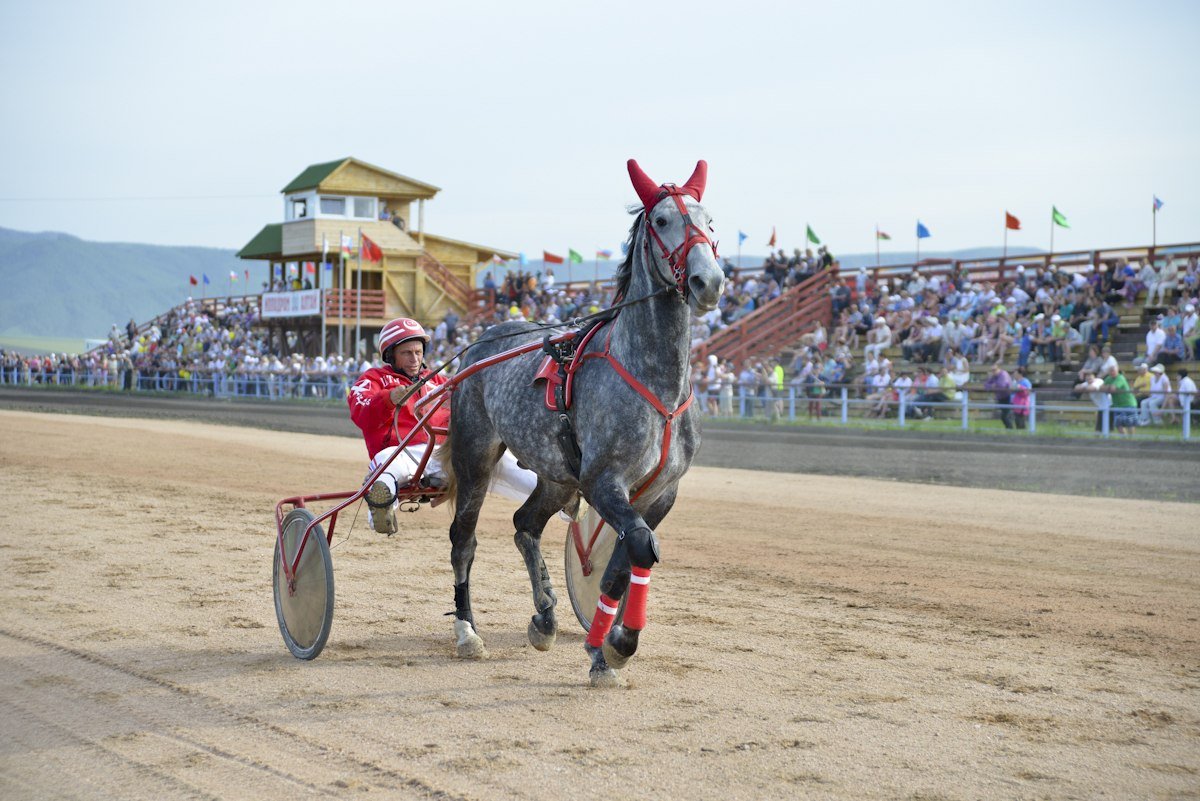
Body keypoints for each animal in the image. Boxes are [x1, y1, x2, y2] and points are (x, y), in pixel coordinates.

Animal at [439, 159, 720, 685]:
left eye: (710, 221)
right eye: (662, 220)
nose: (708, 281)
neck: (657, 380)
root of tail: (484, 337)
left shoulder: (657, 493)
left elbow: (624, 561)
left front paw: (602, 647)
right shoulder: (603, 479)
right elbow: (640, 547)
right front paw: (617, 645)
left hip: (556, 476)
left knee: (524, 525)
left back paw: (545, 617)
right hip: (474, 455)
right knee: (463, 540)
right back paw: (467, 631)